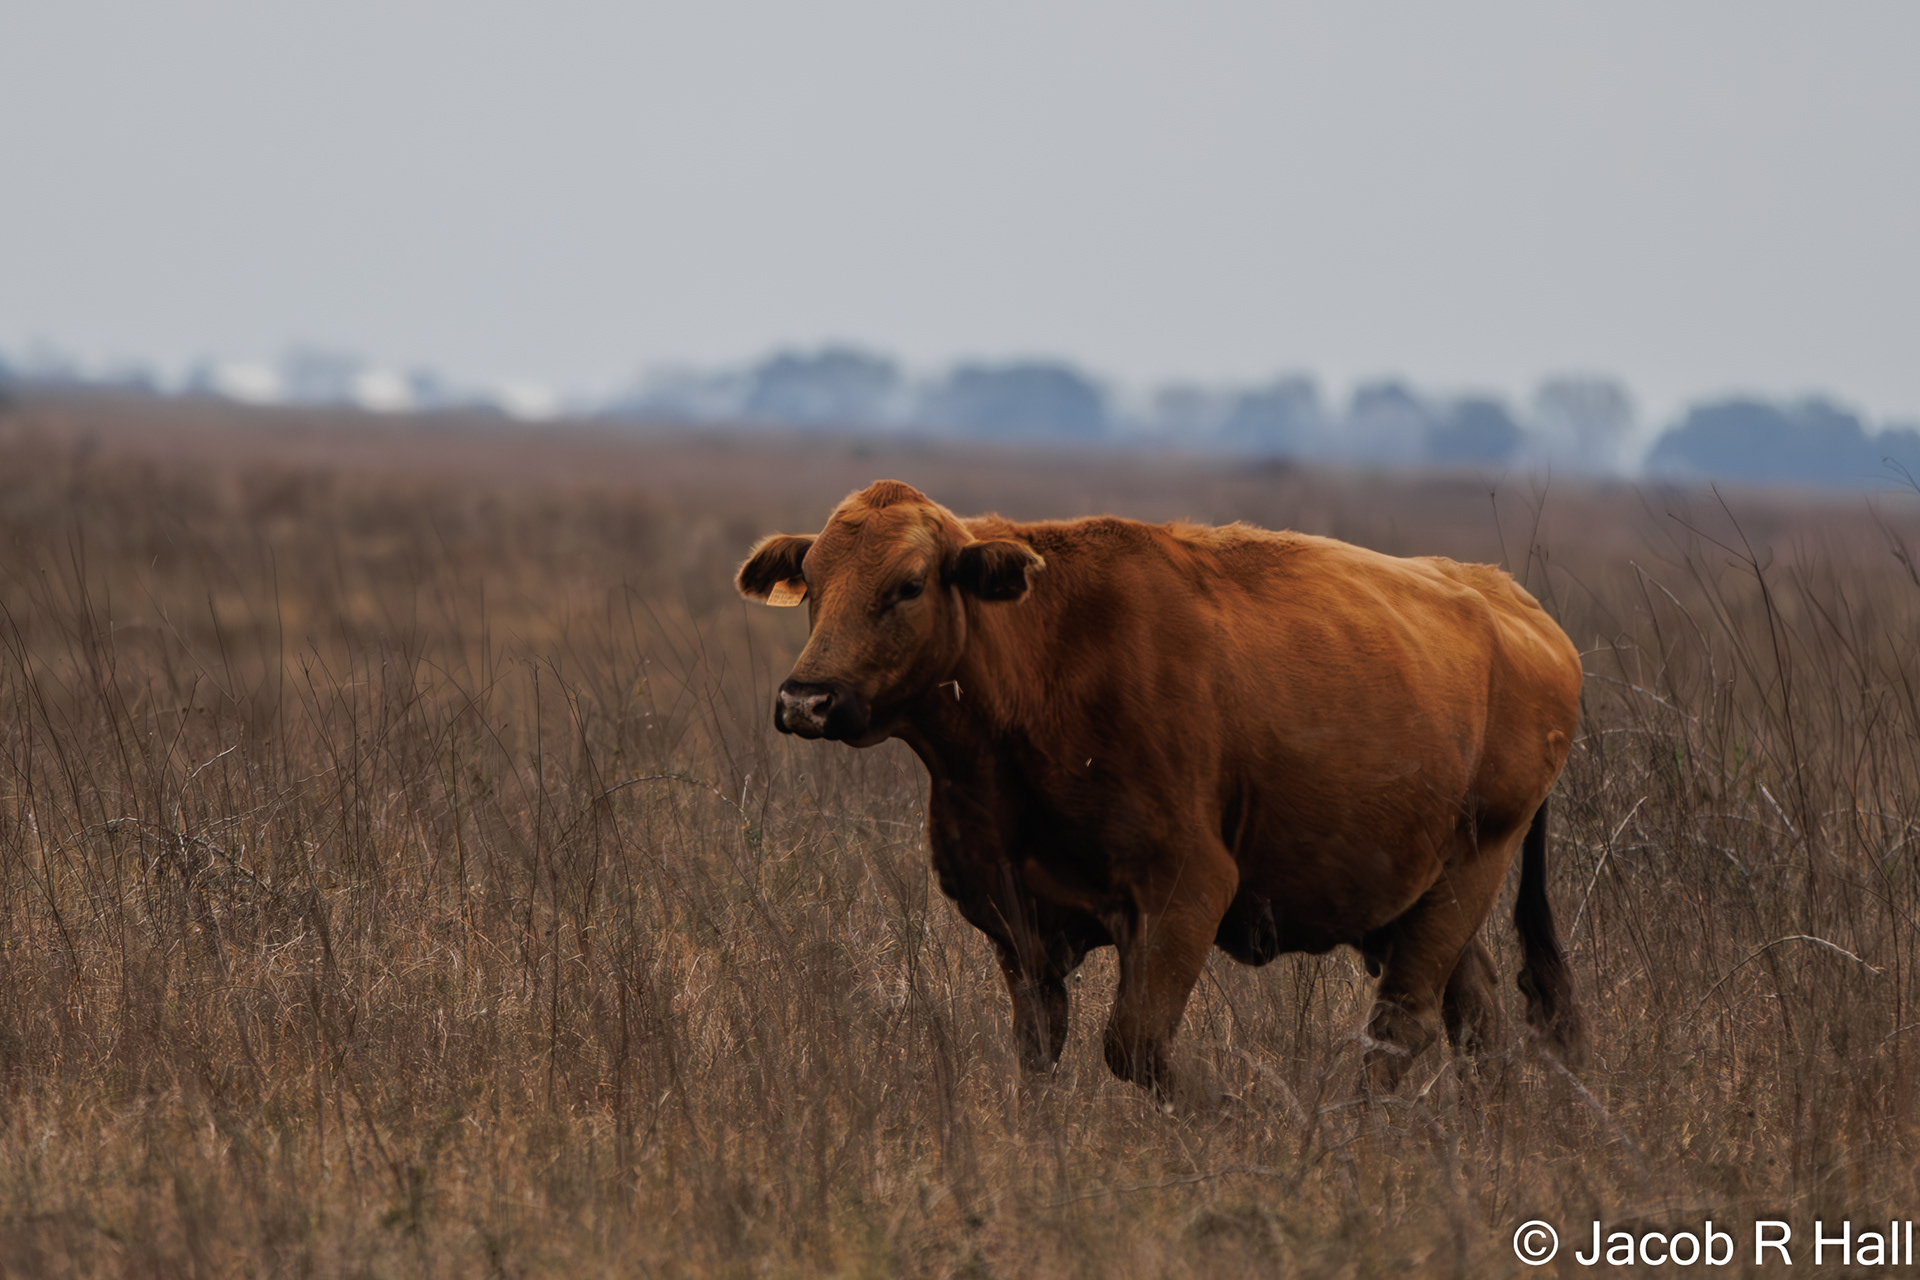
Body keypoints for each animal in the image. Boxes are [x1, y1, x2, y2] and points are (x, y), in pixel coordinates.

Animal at [736, 480, 1586, 1100]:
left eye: (909, 585)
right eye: (812, 583)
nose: (807, 700)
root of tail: (1518, 608)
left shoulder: (1186, 891)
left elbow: (1134, 1045)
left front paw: (1239, 1112)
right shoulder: (1015, 921)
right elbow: (1038, 1055)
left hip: (1470, 874)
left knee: (1398, 1032)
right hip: (1416, 897)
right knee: (1477, 1024)